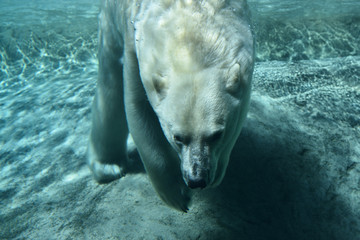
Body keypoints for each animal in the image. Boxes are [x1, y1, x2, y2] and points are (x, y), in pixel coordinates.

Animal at [88, 0, 255, 211]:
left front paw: (218, 171)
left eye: (217, 135)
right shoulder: (133, 40)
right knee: (110, 86)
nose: (197, 180)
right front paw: (175, 194)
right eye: (178, 137)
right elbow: (138, 108)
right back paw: (108, 166)